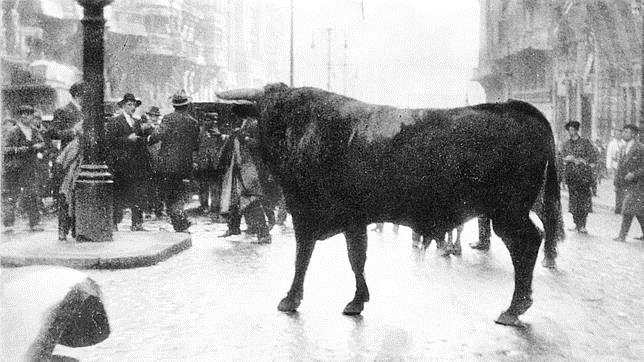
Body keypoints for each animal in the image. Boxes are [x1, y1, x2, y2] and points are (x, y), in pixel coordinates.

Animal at [219, 83, 568, 326]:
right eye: (265, 114)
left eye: (277, 116)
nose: (273, 147)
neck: (309, 130)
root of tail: (515, 109)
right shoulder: (351, 219)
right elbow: (355, 258)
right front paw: (357, 300)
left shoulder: (310, 214)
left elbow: (306, 257)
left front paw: (292, 299)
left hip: (507, 212)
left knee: (527, 243)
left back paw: (514, 307)